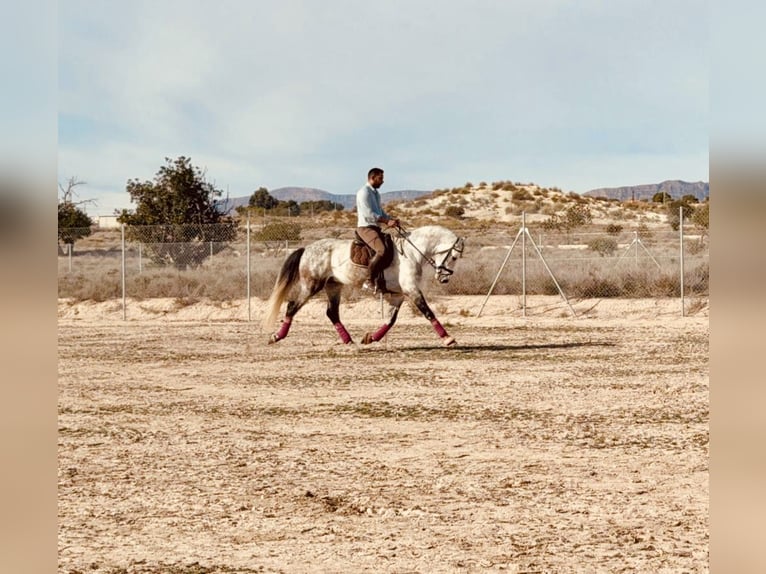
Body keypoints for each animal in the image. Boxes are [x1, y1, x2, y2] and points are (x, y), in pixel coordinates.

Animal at [264, 226, 464, 346]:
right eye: (454, 257)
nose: (444, 279)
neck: (411, 252)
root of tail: (306, 249)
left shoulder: (398, 294)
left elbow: (390, 320)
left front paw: (371, 338)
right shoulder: (411, 290)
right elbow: (428, 312)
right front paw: (448, 338)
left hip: (333, 286)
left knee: (332, 313)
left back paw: (348, 340)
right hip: (311, 286)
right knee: (292, 306)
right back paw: (277, 336)